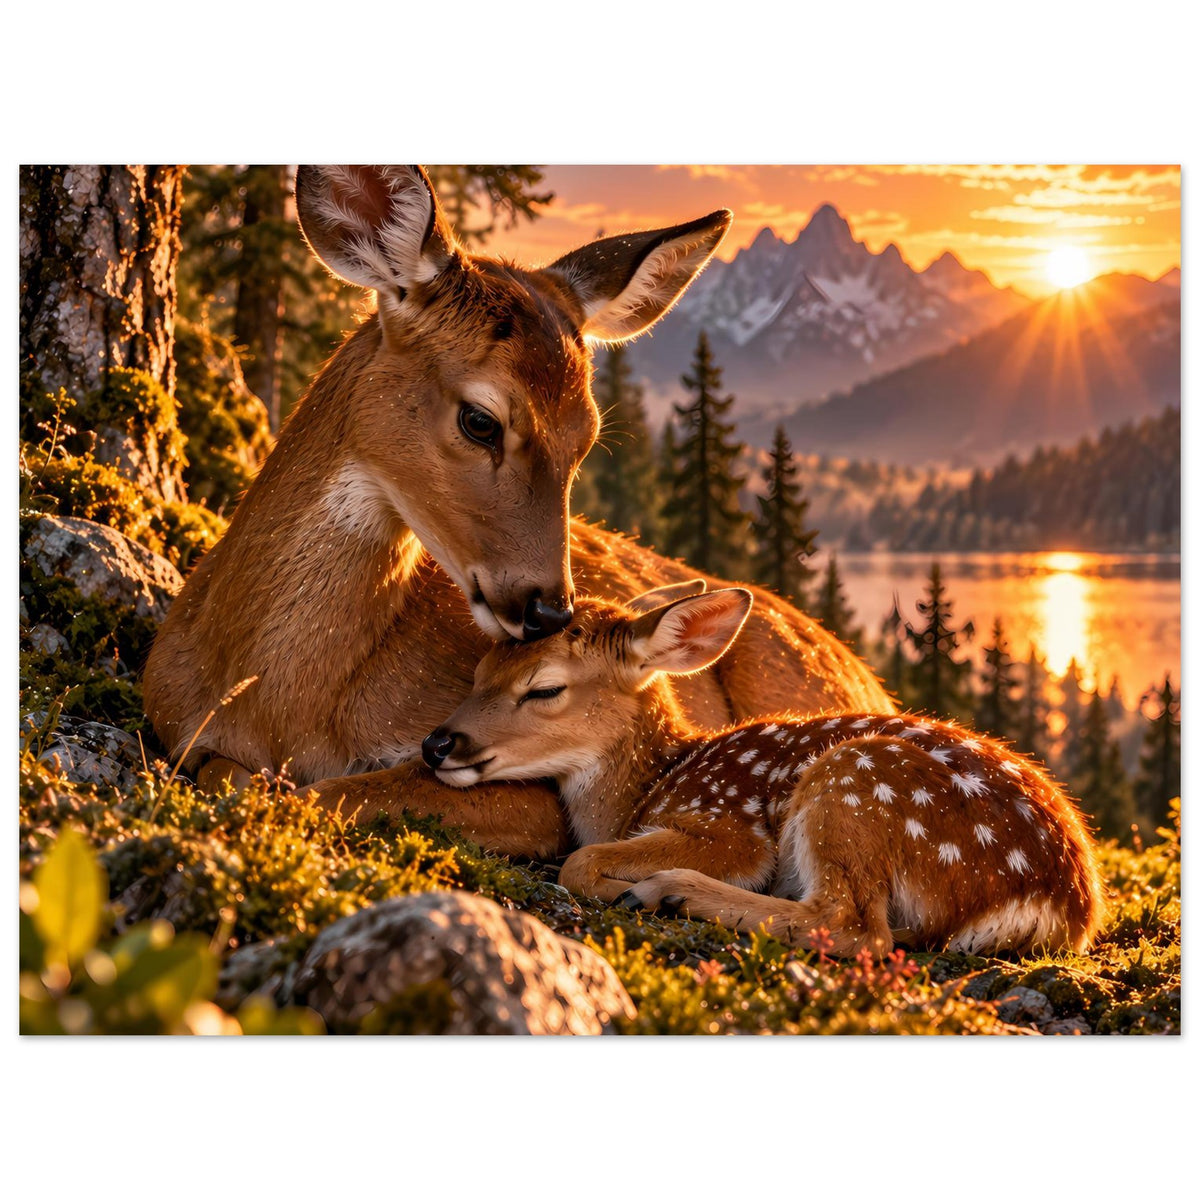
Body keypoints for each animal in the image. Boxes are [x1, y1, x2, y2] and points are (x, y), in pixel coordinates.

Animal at [144, 165, 894, 862]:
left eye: (587, 436)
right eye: (481, 420)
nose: (549, 609)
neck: (273, 700)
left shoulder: (530, 793)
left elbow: (334, 791)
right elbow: (228, 773)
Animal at [423, 584, 1105, 956]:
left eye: (544, 689)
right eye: (480, 669)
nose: (436, 744)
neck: (647, 786)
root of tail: (1061, 905)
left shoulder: (729, 825)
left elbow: (580, 860)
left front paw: (627, 883)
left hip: (855, 783)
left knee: (854, 926)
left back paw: (670, 892)